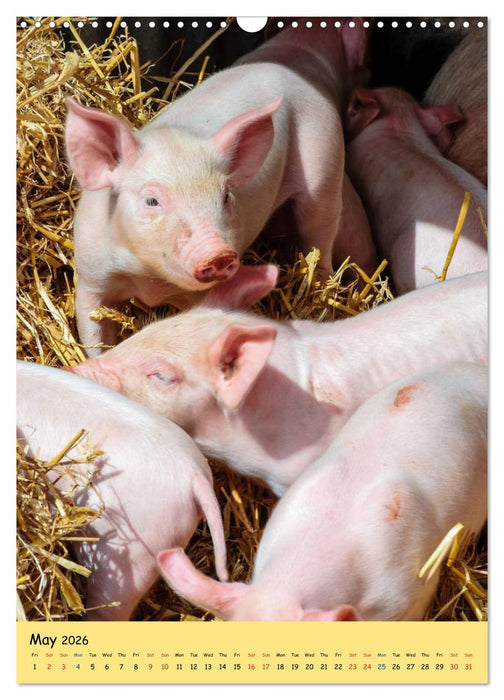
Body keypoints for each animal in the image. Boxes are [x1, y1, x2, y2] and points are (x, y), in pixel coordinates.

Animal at [65, 19, 377, 356]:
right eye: (151, 201)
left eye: (225, 197)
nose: (218, 254)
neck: (148, 279)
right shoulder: (90, 276)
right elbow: (93, 333)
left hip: (324, 161)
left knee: (319, 236)